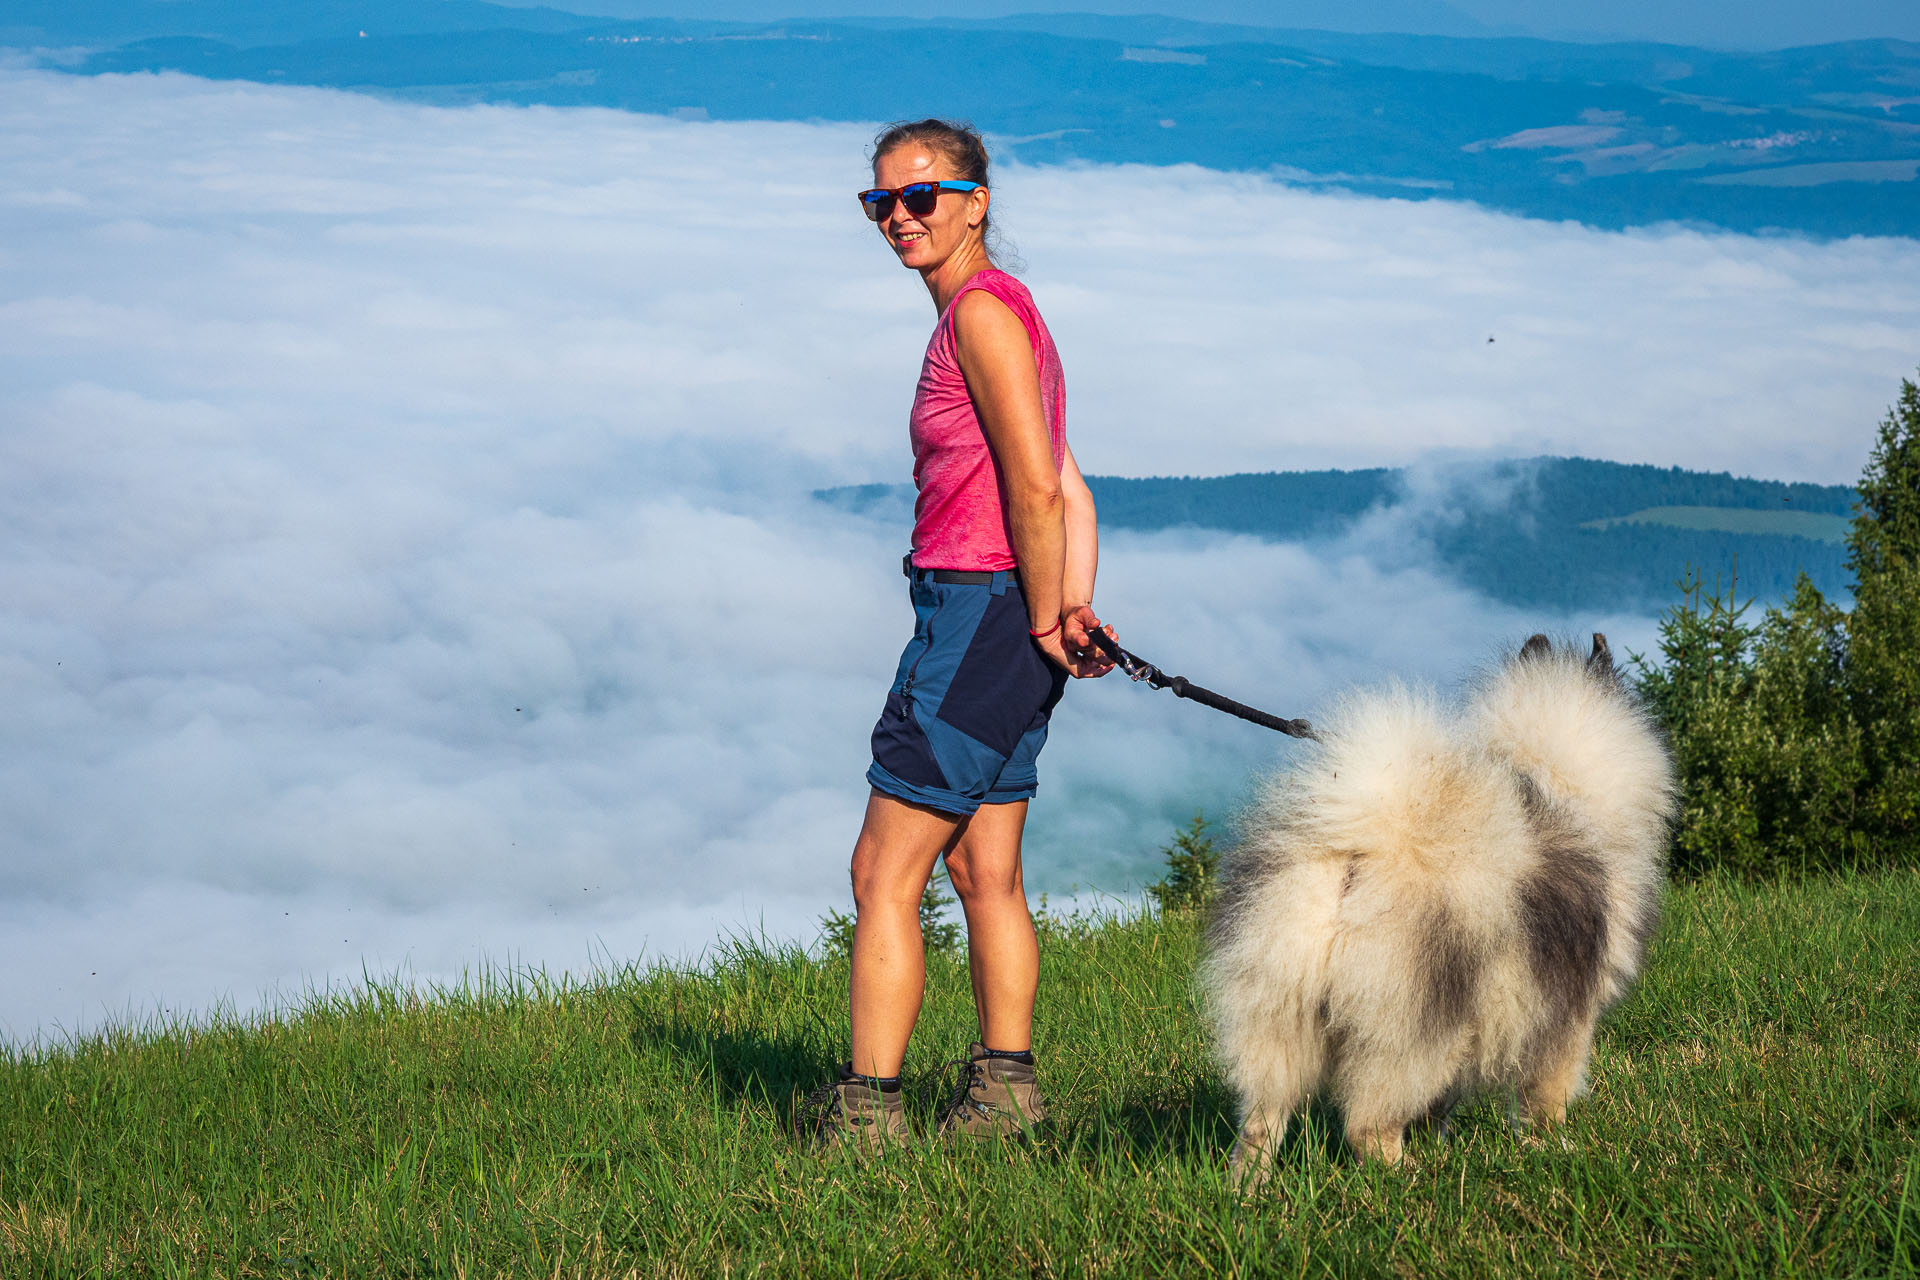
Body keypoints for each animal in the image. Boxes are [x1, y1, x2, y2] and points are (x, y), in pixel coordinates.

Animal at [1205, 637, 1674, 1189]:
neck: (1556, 782)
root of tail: (1359, 856)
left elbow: (1441, 1106)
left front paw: (1441, 1142)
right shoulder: (1565, 1020)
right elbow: (1544, 1101)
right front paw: (1552, 1150)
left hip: (1280, 1015)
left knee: (1261, 1121)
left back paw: (1248, 1193)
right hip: (1408, 1035)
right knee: (1368, 1126)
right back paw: (1408, 1178)